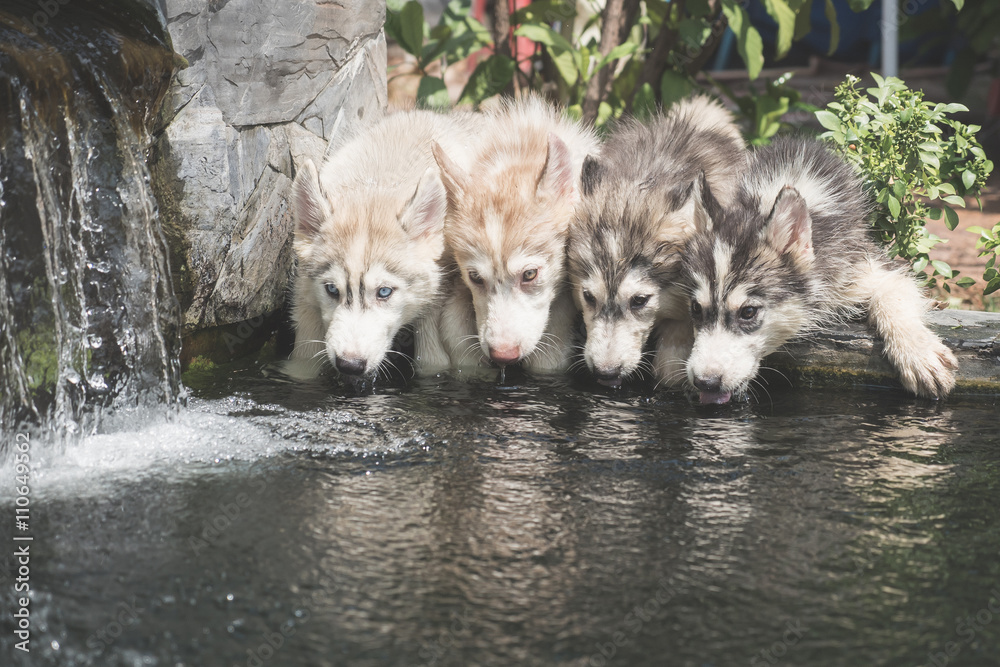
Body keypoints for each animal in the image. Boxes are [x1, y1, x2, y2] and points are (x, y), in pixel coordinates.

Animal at [290, 112, 476, 378]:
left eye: (384, 292)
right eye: (332, 289)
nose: (350, 365)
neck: (376, 185)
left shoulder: (433, 303)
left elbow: (432, 359)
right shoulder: (305, 303)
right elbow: (302, 361)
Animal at [684, 136, 956, 402]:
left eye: (748, 312)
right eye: (695, 308)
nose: (704, 382)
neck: (761, 205)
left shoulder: (868, 266)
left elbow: (893, 296)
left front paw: (917, 353)